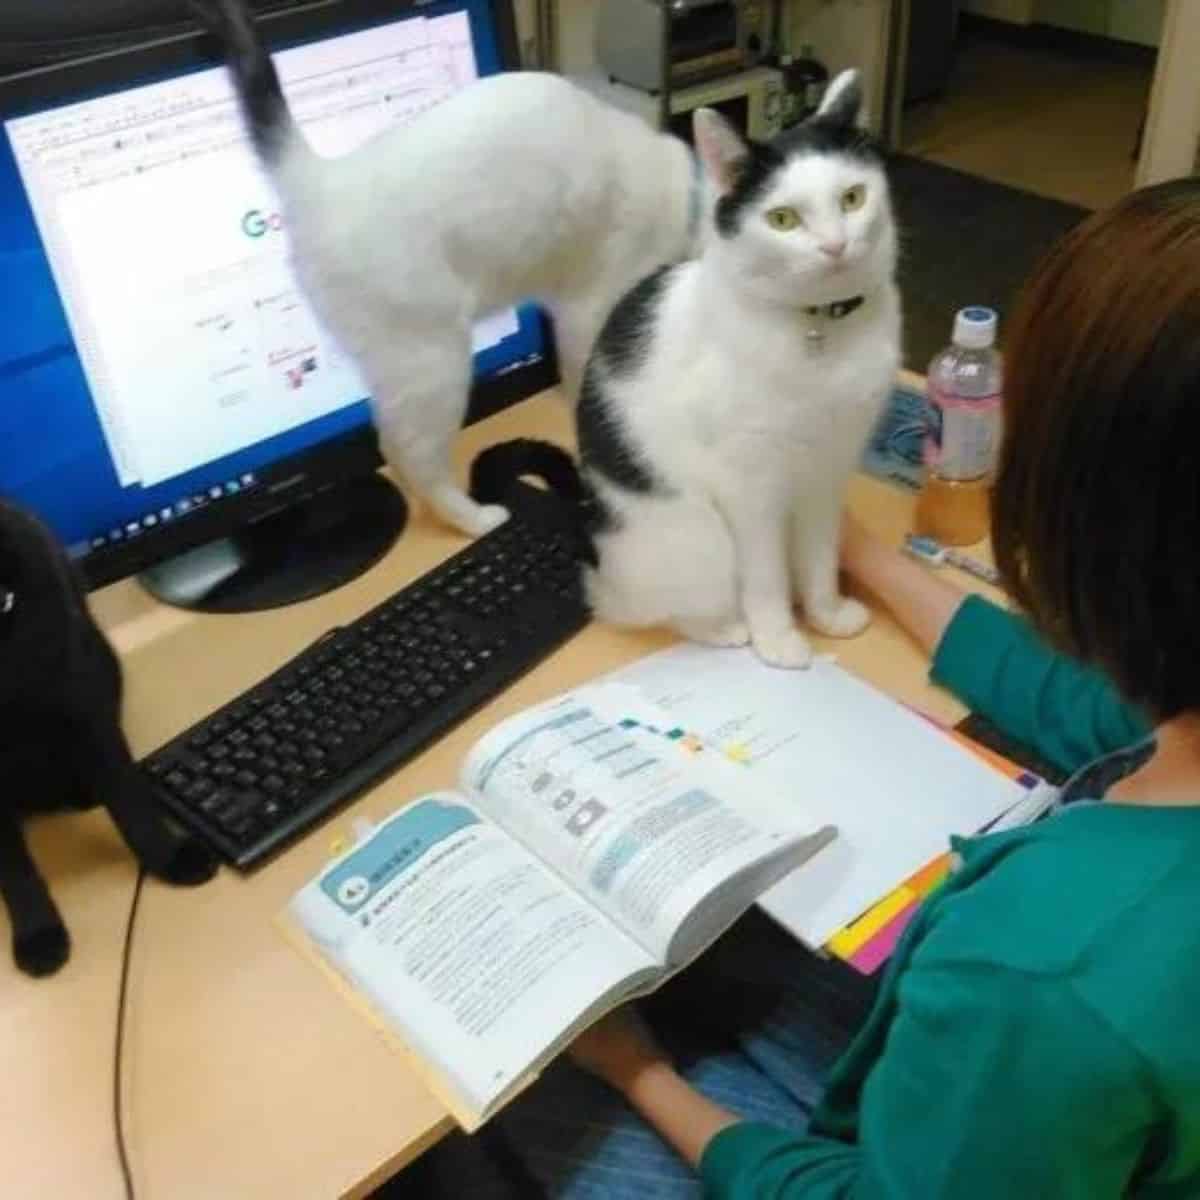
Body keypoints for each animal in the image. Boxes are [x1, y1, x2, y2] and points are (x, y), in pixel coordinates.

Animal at [1, 496, 216, 974]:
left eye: (2, 602)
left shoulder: (83, 700)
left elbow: (129, 800)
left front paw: (168, 857)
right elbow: (15, 870)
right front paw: (38, 934)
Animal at [184, 0, 696, 535]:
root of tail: (320, 177)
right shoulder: (588, 311)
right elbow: (588, 386)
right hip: (435, 362)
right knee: (412, 457)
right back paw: (474, 517)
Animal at [468, 70, 902, 672]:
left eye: (853, 197)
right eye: (783, 219)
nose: (835, 247)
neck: (820, 331)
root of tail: (592, 539)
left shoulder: (828, 474)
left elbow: (818, 558)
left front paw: (827, 615)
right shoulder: (751, 488)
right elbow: (766, 576)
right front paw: (778, 639)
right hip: (698, 535)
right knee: (659, 609)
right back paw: (727, 629)